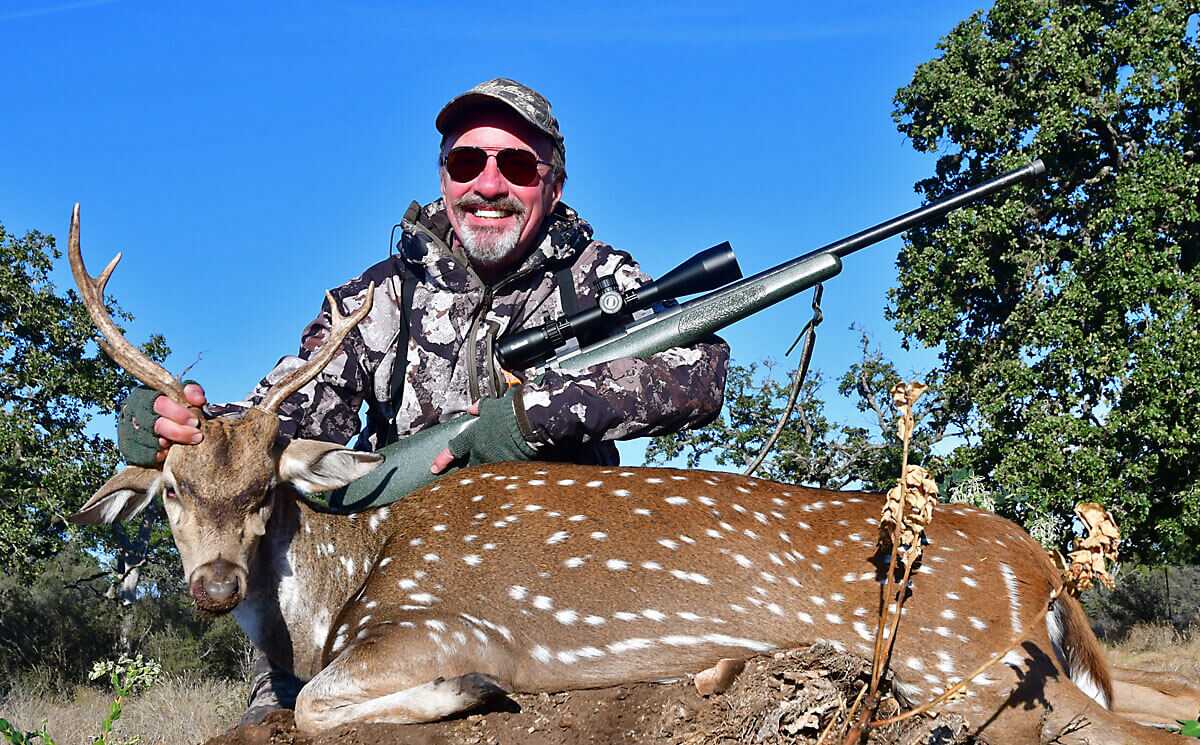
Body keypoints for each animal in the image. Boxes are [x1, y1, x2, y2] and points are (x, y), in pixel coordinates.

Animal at [64, 205, 1186, 744]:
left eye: (268, 490)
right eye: (172, 490)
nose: (215, 585)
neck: (335, 590)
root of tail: (1038, 566)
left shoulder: (436, 620)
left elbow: (313, 704)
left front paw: (473, 692)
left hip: (956, 648)